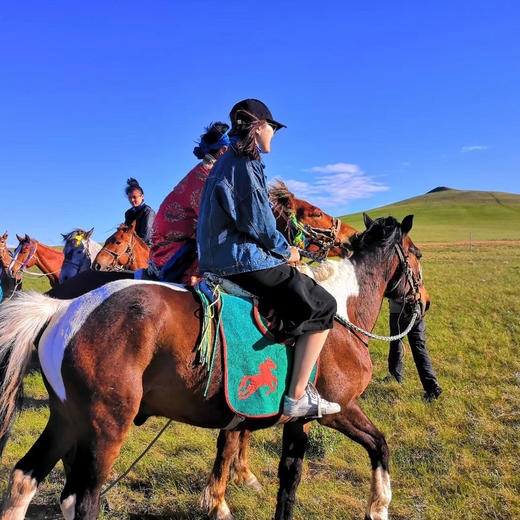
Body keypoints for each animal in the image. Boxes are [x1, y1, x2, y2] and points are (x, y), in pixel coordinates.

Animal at [0, 212, 426, 520]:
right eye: (418, 255)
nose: (423, 301)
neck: (342, 313)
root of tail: (62, 307)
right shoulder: (336, 409)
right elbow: (374, 446)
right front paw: (379, 507)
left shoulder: (287, 418)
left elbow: (281, 474)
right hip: (104, 428)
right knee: (81, 500)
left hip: (67, 419)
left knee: (25, 478)